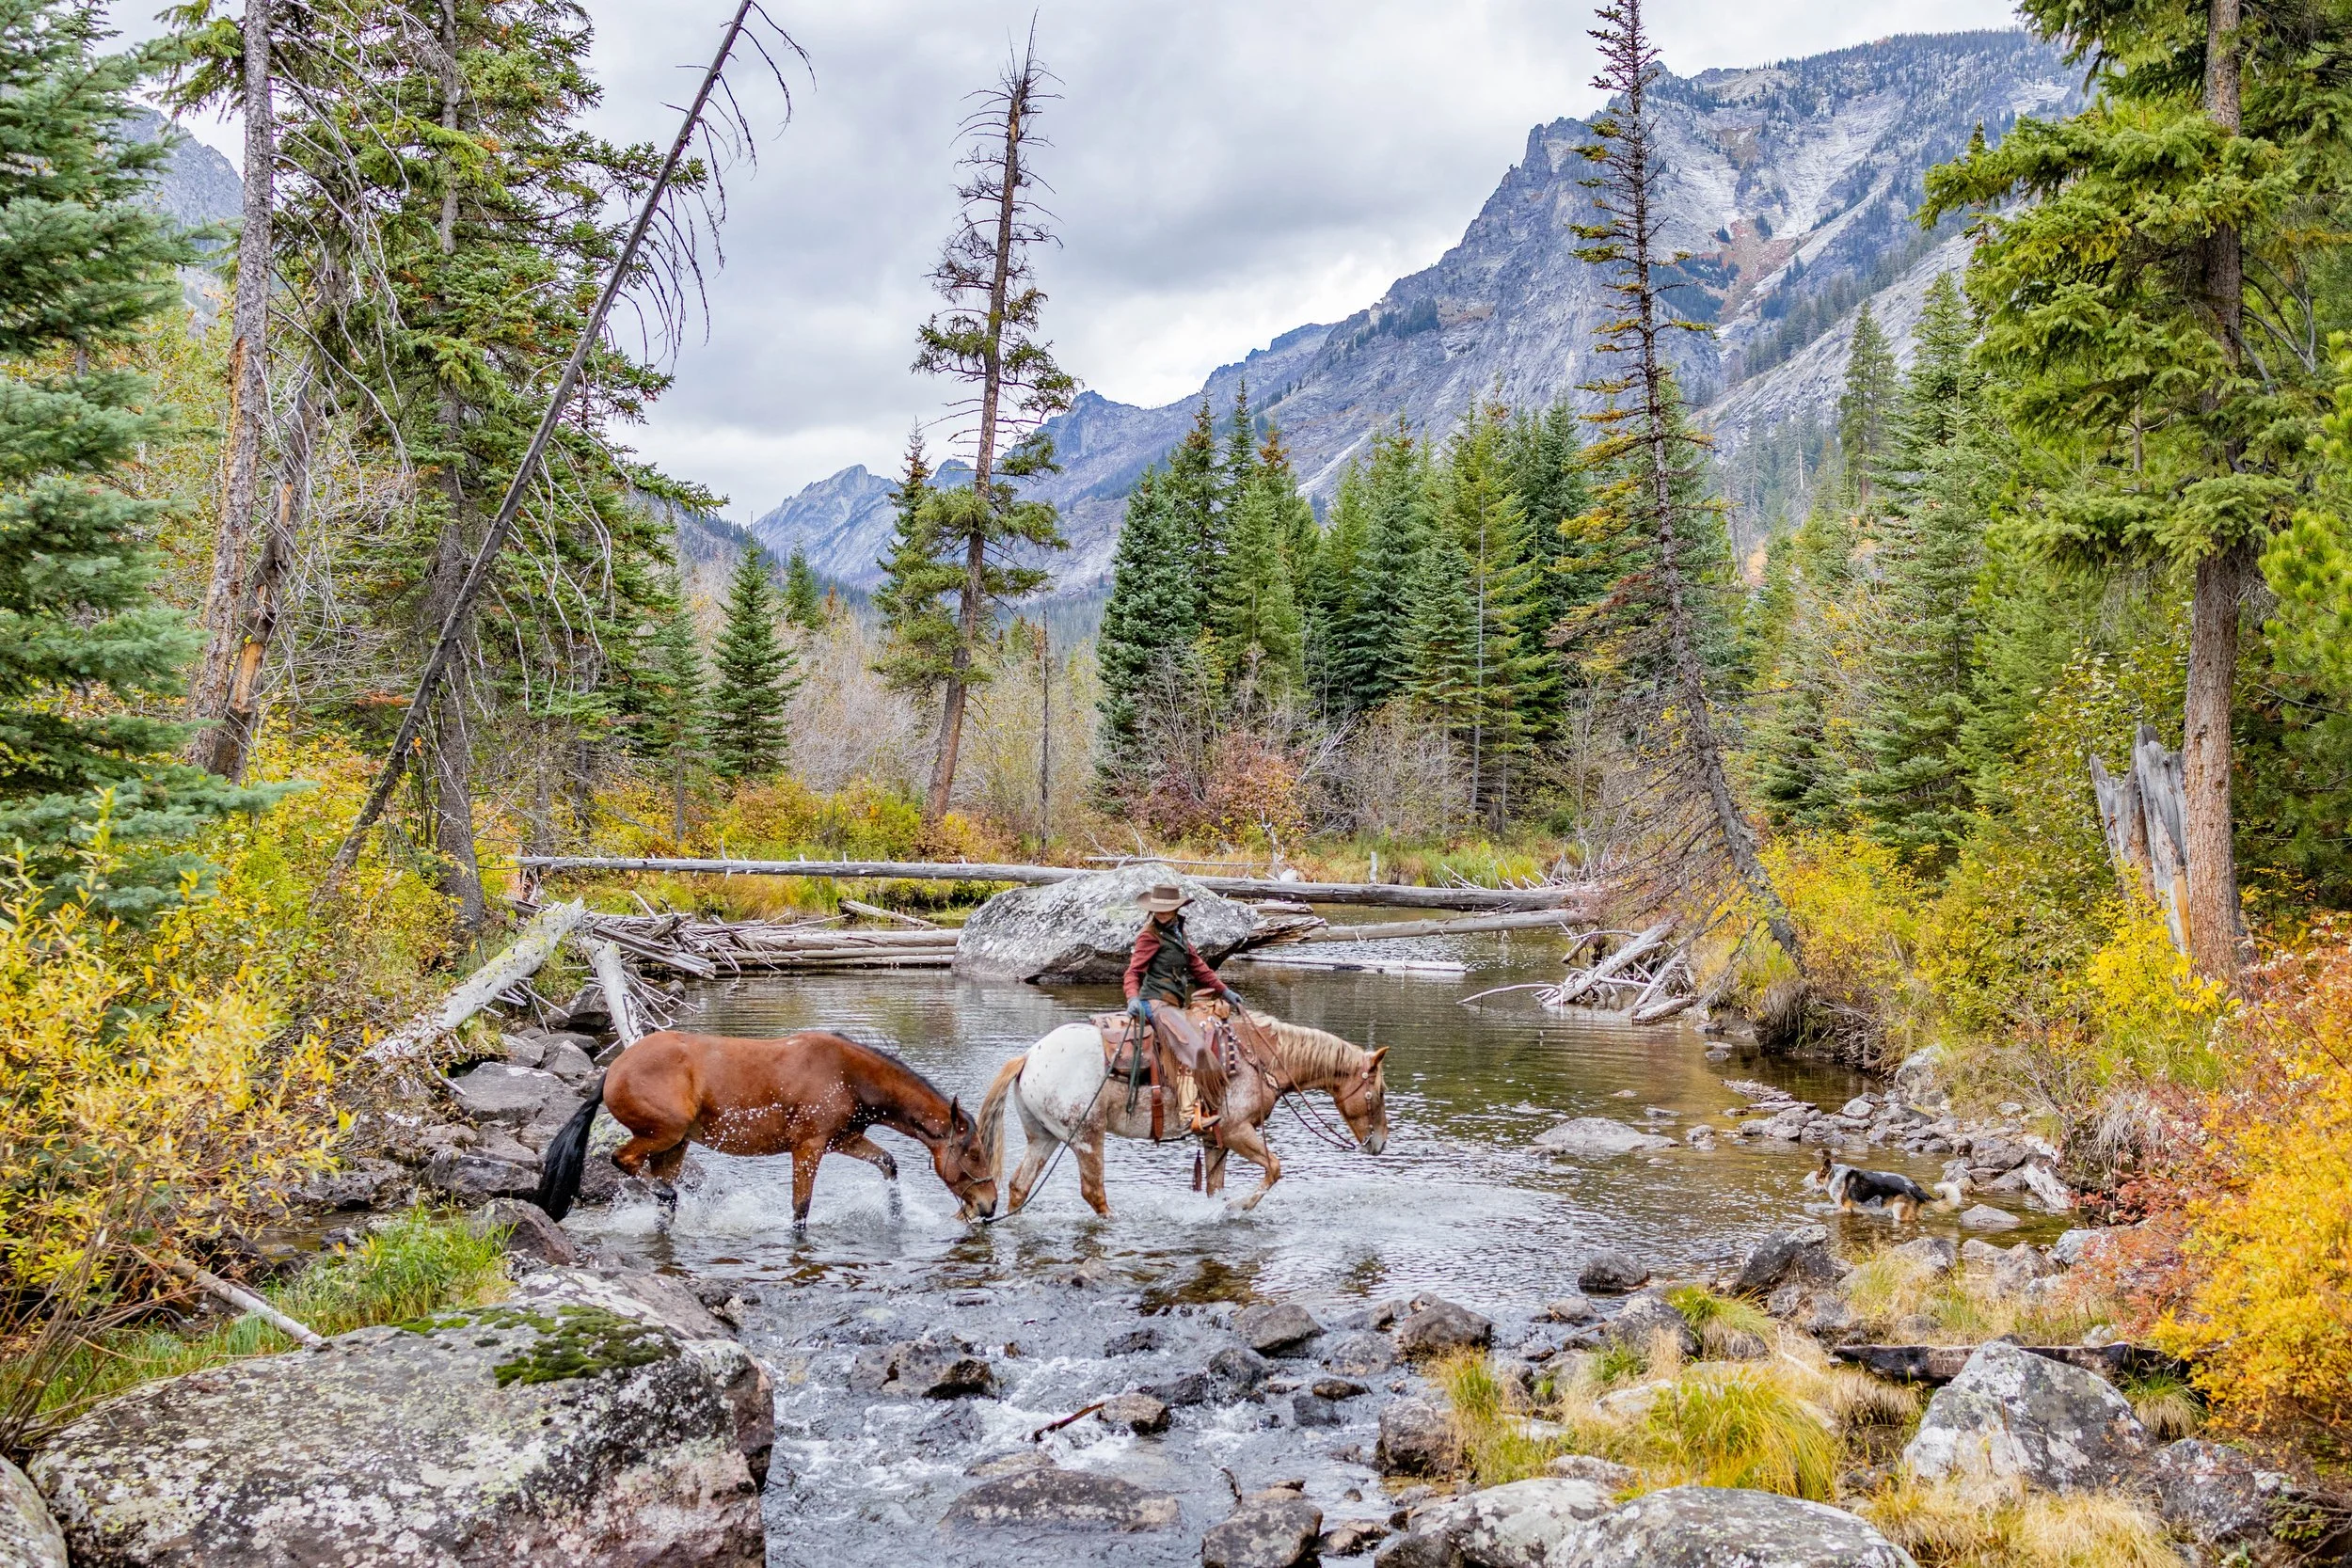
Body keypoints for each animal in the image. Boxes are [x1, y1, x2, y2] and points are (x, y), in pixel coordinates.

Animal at [533, 1029, 998, 1228]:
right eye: (974, 1153)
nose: (990, 1205)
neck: (848, 1075)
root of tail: (613, 1071)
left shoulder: (843, 1140)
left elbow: (888, 1163)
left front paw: (897, 1217)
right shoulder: (808, 1146)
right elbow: (800, 1209)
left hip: (676, 1147)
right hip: (664, 1134)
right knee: (624, 1160)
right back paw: (666, 1193)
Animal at [974, 1008, 1389, 1217]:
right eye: (1379, 1092)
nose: (1380, 1144)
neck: (1260, 1058)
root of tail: (1029, 1056)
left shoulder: (1217, 1140)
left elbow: (1214, 1188)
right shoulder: (1237, 1131)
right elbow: (1273, 1168)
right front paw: (1241, 1205)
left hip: (1042, 1136)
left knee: (1019, 1186)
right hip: (1087, 1137)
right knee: (1093, 1192)